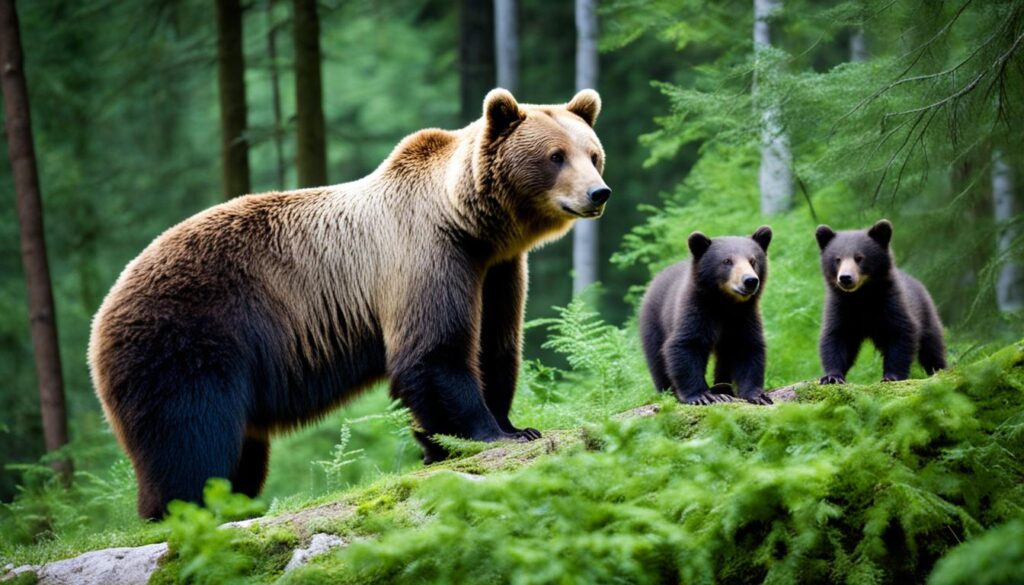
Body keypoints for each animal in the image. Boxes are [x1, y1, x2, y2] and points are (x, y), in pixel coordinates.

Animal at [88, 88, 611, 519]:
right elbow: (434, 353)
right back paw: (188, 510)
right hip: (188, 340)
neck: (470, 225)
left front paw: (511, 426)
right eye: (555, 156)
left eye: (593, 154)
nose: (598, 193)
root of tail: (103, 310)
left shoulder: (497, 271)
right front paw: (481, 434)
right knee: (191, 438)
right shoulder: (426, 256)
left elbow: (494, 347)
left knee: (242, 452)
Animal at [639, 227, 774, 406]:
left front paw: (758, 395)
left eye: (753, 260)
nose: (750, 281)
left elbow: (747, 347)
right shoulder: (697, 310)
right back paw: (668, 393)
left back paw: (723, 389)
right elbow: (686, 345)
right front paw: (702, 395)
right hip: (654, 321)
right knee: (657, 360)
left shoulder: (744, 316)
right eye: (727, 261)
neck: (725, 304)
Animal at [815, 219, 946, 384]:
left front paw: (891, 376)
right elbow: (836, 337)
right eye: (837, 259)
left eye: (859, 257)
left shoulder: (891, 303)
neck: (862, 297)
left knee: (932, 347)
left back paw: (939, 369)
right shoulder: (840, 307)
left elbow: (901, 334)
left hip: (927, 315)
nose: (845, 278)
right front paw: (832, 376)